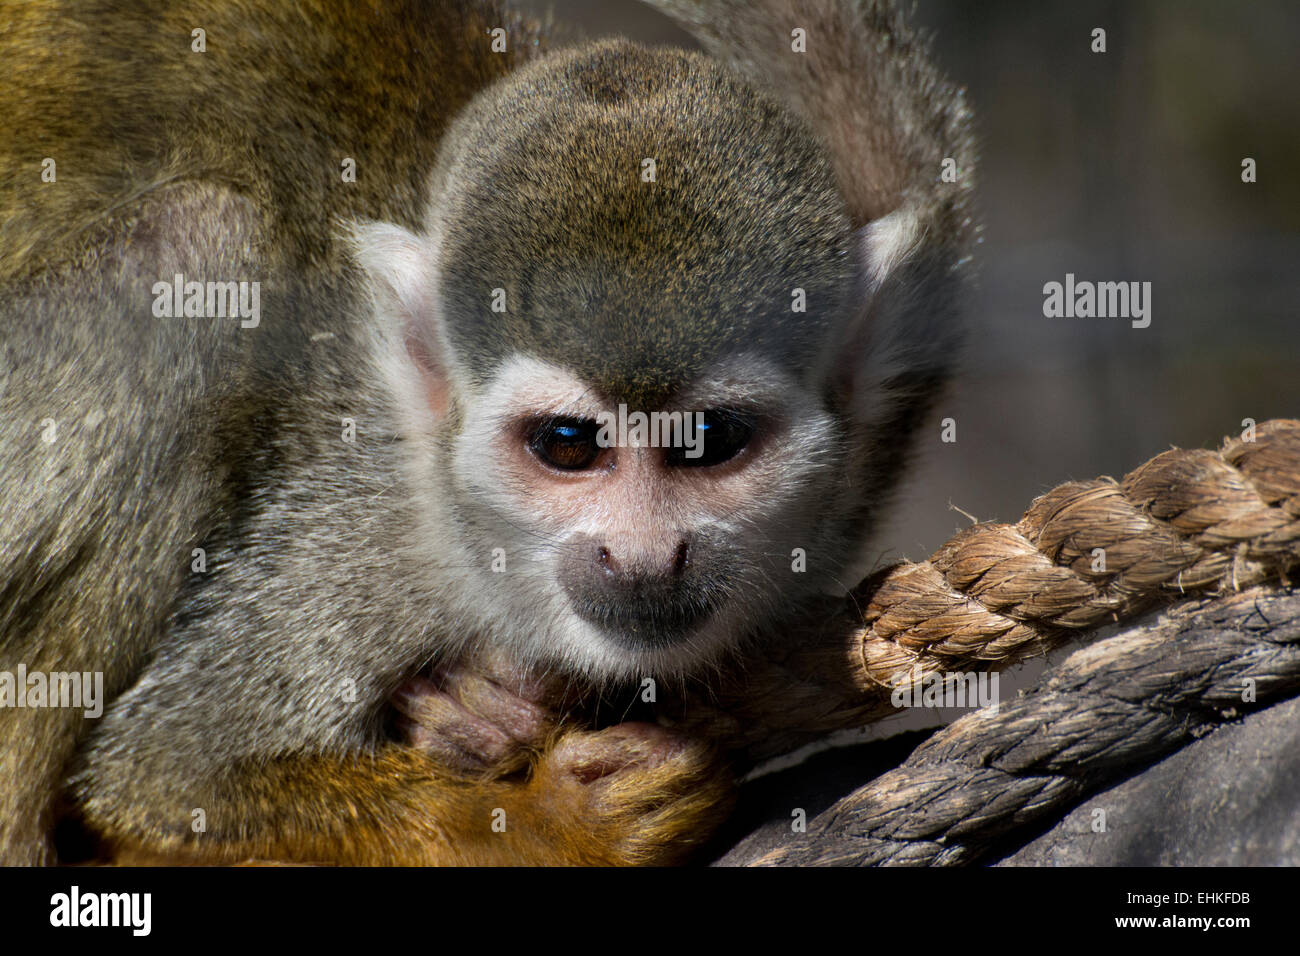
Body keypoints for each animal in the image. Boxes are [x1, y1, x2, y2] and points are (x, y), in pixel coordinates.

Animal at [0, 0, 974, 865]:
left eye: (707, 438)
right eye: (569, 444)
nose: (644, 555)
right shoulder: (353, 537)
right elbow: (159, 777)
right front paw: (548, 825)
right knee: (193, 245)